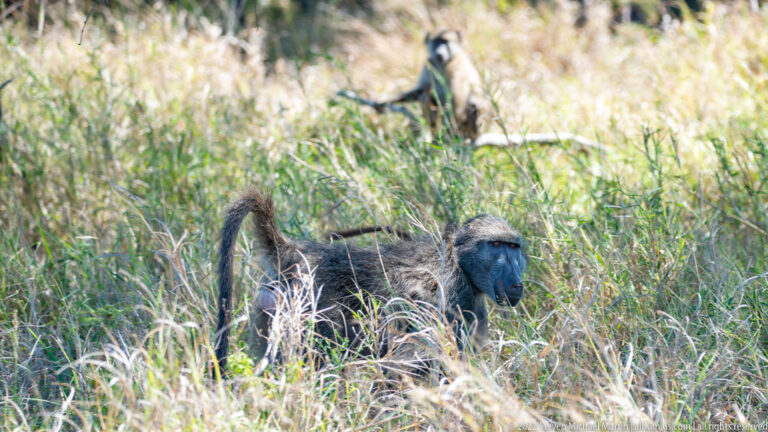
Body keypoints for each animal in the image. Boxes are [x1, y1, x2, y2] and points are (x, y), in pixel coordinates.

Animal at [214, 189, 526, 371]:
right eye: (496, 245)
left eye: (514, 247)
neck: (458, 261)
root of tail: (295, 253)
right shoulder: (451, 299)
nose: (517, 284)